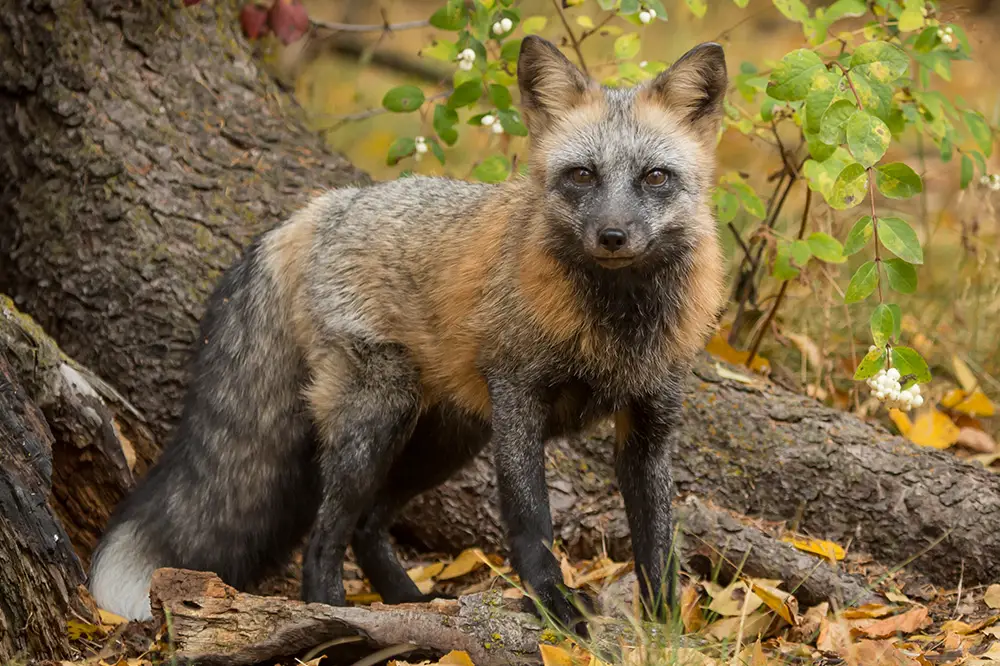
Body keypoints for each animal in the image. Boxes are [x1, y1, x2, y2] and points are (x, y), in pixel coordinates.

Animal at [90, 35, 728, 628]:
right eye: (582, 175)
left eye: (655, 177)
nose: (613, 236)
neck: (615, 328)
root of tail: (323, 207)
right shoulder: (519, 399)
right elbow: (532, 524)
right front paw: (555, 610)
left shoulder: (649, 426)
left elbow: (658, 544)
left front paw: (668, 630)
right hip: (382, 417)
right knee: (325, 537)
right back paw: (333, 615)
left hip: (448, 439)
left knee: (368, 526)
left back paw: (410, 604)